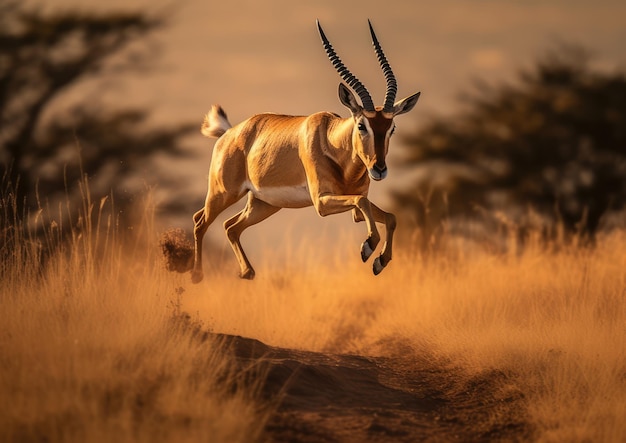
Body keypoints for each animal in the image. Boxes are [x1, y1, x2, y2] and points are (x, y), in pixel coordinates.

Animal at [190, 19, 420, 282]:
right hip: (223, 193)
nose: (379, 169)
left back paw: (247, 272)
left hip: (264, 204)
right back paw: (196, 275)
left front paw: (379, 261)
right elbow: (362, 201)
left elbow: (390, 216)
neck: (333, 144)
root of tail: (229, 133)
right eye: (362, 125)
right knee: (200, 222)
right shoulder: (322, 202)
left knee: (230, 226)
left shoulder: (355, 211)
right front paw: (368, 247)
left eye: (392, 127)